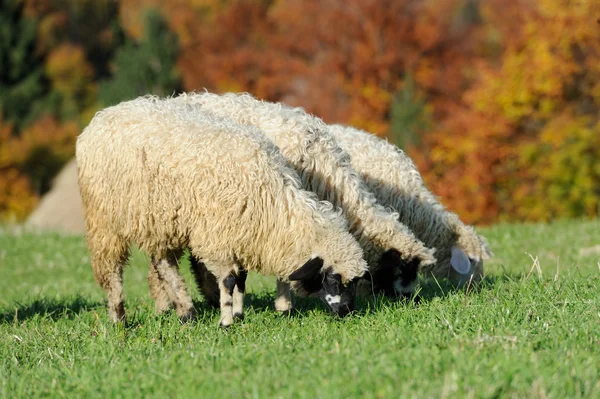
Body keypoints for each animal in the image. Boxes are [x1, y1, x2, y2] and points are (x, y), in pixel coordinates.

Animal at [75, 97, 366, 328]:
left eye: (354, 282)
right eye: (333, 279)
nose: (347, 312)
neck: (271, 200)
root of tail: (103, 116)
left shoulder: (240, 235)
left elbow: (240, 280)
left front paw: (237, 314)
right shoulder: (216, 237)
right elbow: (228, 280)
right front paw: (226, 321)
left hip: (159, 219)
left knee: (163, 263)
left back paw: (187, 313)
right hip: (104, 219)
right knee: (111, 270)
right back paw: (119, 319)